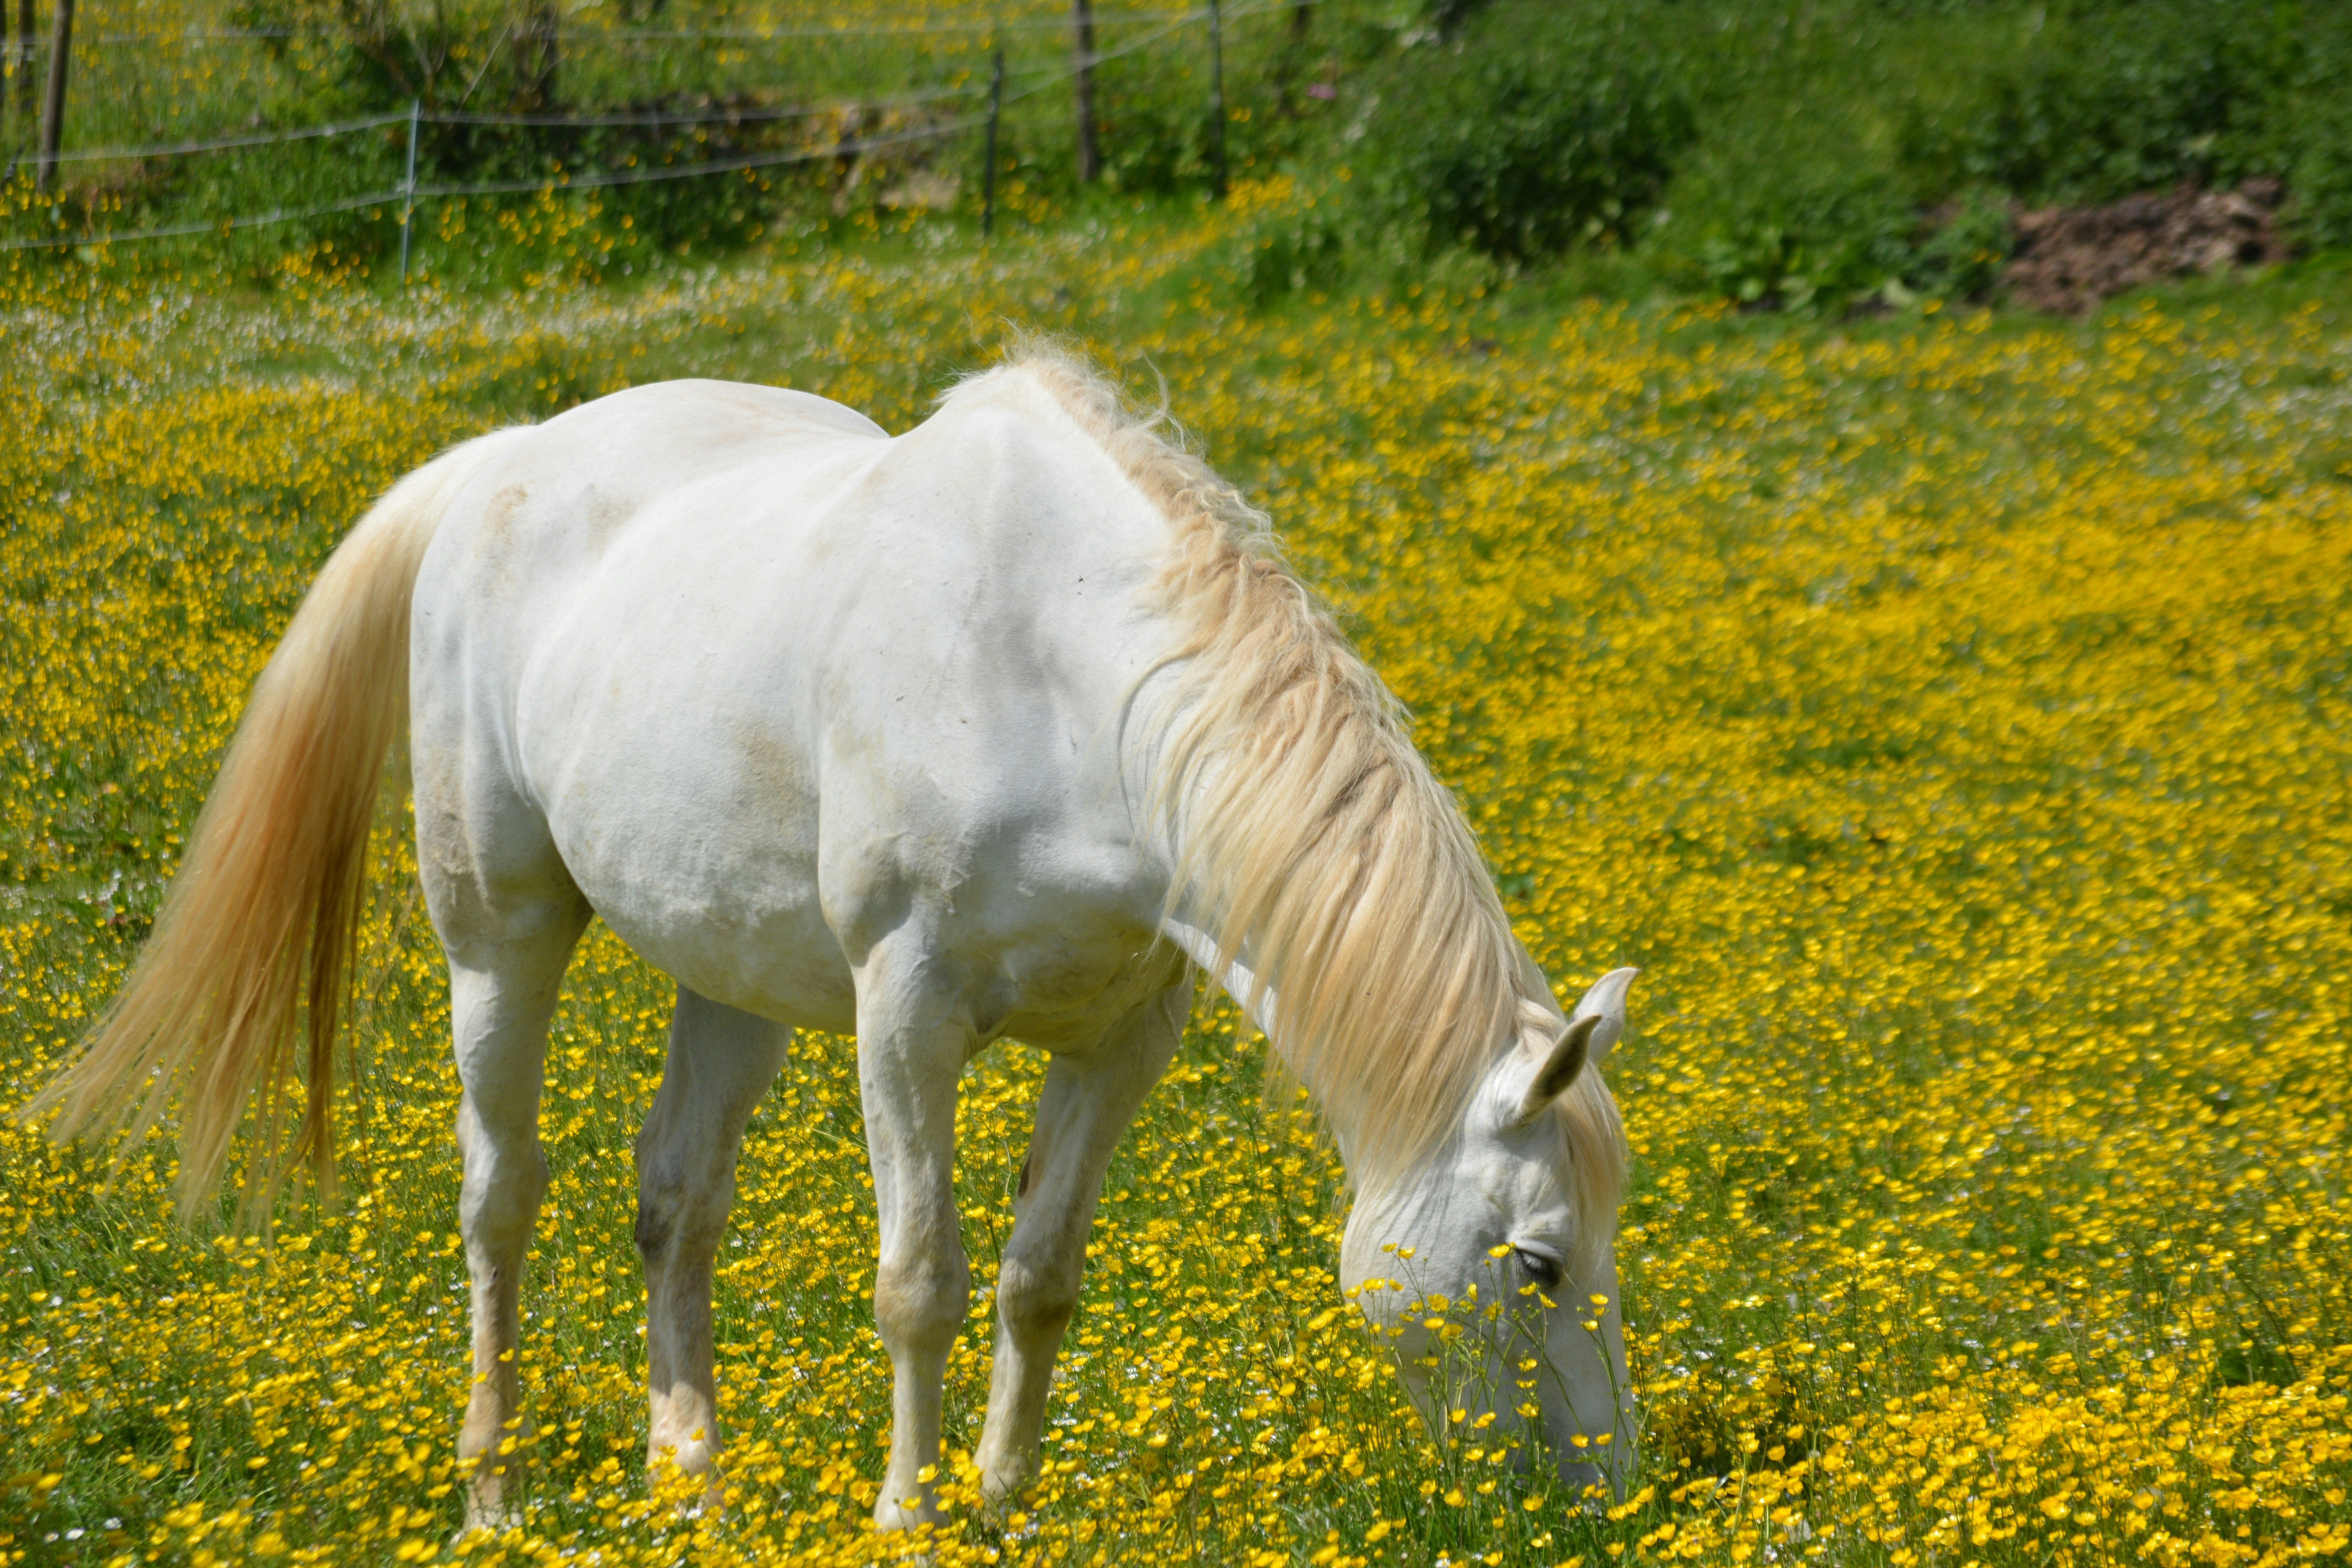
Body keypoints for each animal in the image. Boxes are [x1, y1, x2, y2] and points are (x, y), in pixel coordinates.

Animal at [26, 350, 1638, 1531]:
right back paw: (492, 1490)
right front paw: (908, 1517)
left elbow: (1038, 1278)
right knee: (500, 1198)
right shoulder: (905, 1012)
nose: (1604, 1497)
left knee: (675, 1195)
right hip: (499, 939)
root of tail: (496, 461)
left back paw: (691, 1481)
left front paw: (1000, 1511)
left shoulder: (1119, 1039)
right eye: (1538, 1263)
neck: (1060, 679)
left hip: (724, 968)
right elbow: (919, 1277)